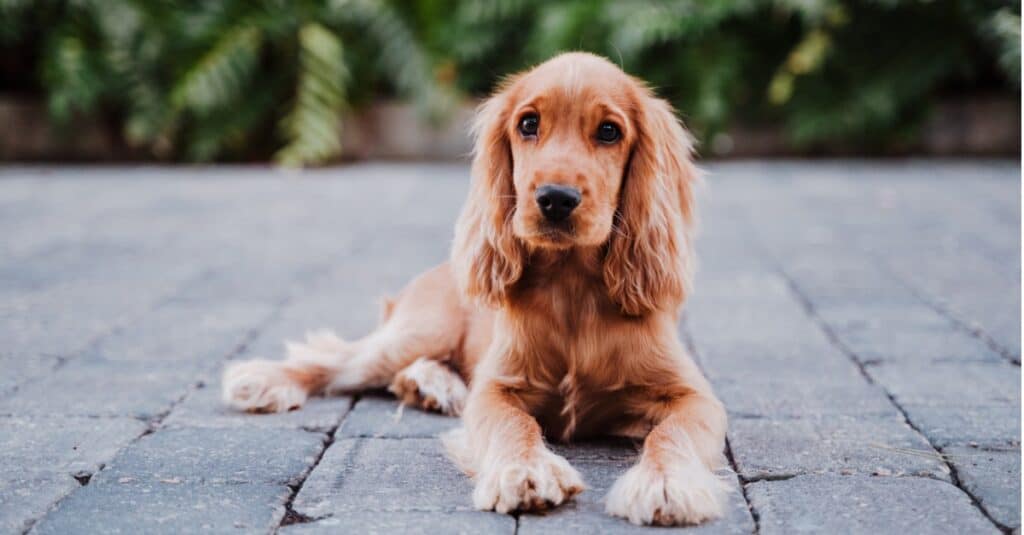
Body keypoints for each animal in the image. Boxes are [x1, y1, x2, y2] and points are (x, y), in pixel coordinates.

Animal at [224, 52, 729, 524]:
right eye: (528, 124)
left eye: (609, 132)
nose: (555, 199)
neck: (572, 289)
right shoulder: (497, 387)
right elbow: (513, 424)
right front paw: (524, 471)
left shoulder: (691, 395)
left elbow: (673, 432)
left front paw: (665, 483)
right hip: (420, 330)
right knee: (339, 359)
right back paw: (264, 380)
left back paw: (430, 386)